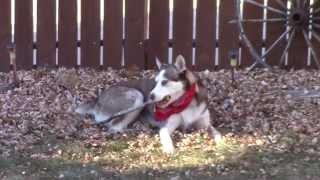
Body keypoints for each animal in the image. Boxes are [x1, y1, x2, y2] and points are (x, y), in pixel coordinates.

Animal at [77, 55, 222, 154]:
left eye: (164, 82)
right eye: (156, 82)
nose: (150, 96)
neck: (186, 102)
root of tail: (97, 98)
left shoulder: (205, 124)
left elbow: (217, 133)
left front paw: (223, 144)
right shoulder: (166, 127)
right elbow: (166, 137)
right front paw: (169, 149)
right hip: (137, 96)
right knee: (113, 126)